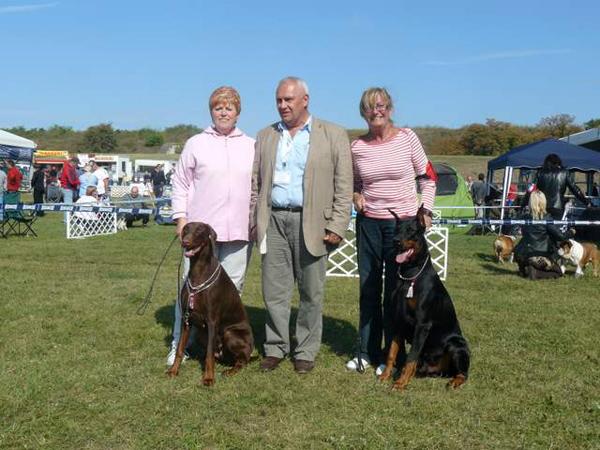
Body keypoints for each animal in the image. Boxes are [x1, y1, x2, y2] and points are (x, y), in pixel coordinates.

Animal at [166, 222, 254, 386]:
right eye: (185, 229)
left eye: (200, 230)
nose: (185, 242)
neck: (198, 270)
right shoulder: (186, 319)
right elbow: (180, 349)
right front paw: (173, 370)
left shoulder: (212, 321)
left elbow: (208, 354)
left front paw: (208, 378)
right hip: (201, 334)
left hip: (230, 334)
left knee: (241, 361)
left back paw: (230, 371)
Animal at [379, 211, 470, 391]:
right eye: (396, 229)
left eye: (411, 230)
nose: (395, 241)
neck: (409, 273)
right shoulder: (398, 320)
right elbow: (392, 352)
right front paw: (385, 376)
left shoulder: (422, 324)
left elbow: (411, 357)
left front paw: (400, 383)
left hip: (457, 344)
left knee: (463, 373)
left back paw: (454, 381)